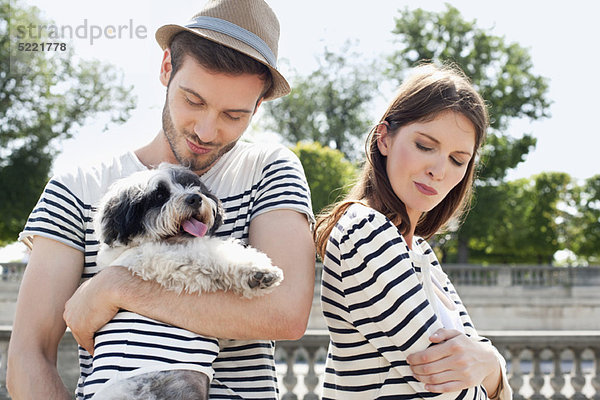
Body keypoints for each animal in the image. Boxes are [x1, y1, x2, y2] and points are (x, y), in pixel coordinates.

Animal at [88, 164, 284, 398]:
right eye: (159, 195)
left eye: (191, 185)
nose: (194, 198)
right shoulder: (175, 263)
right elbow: (212, 253)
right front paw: (258, 270)